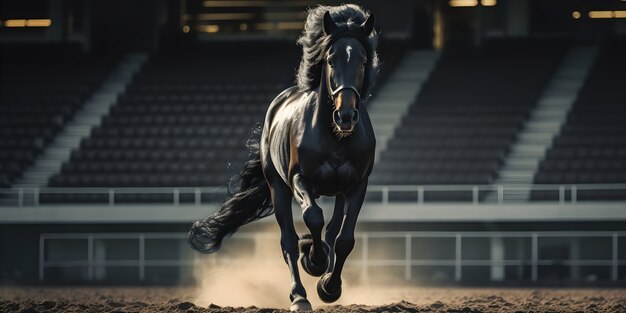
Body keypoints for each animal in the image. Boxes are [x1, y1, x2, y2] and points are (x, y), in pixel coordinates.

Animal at [188, 4, 378, 310]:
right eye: (331, 60)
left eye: (362, 62)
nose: (346, 116)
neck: (334, 137)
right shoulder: (299, 179)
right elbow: (313, 217)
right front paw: (313, 259)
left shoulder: (357, 185)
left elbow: (344, 239)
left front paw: (330, 286)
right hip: (278, 187)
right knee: (288, 239)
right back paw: (299, 295)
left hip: (337, 191)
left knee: (331, 231)